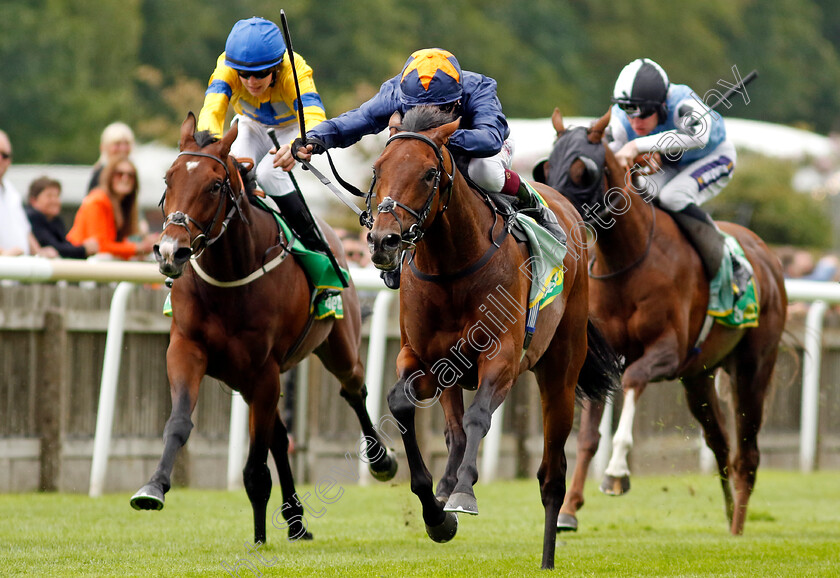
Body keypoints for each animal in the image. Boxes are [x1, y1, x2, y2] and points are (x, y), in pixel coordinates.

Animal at [130, 112, 398, 544]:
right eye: (168, 179)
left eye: (215, 185)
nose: (171, 251)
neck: (230, 276)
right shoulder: (187, 350)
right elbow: (179, 422)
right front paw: (153, 488)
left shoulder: (264, 370)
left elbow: (256, 467)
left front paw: (258, 535)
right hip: (245, 379)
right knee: (280, 434)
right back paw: (296, 519)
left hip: (337, 348)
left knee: (353, 390)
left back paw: (379, 462)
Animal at [364, 104, 620, 568]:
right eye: (378, 169)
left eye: (430, 173)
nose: (383, 240)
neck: (450, 268)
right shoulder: (422, 357)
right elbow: (402, 405)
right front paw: (436, 514)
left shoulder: (501, 356)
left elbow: (479, 417)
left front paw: (463, 494)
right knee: (454, 432)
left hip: (560, 371)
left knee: (552, 475)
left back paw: (548, 556)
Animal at [540, 109, 792, 536]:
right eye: (546, 165)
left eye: (582, 170)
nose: (557, 214)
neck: (628, 262)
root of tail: (768, 257)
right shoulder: (602, 357)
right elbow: (589, 435)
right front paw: (569, 509)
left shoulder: (667, 351)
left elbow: (633, 380)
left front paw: (616, 472)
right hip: (699, 378)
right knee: (720, 441)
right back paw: (729, 512)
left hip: (753, 370)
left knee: (749, 452)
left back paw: (738, 525)